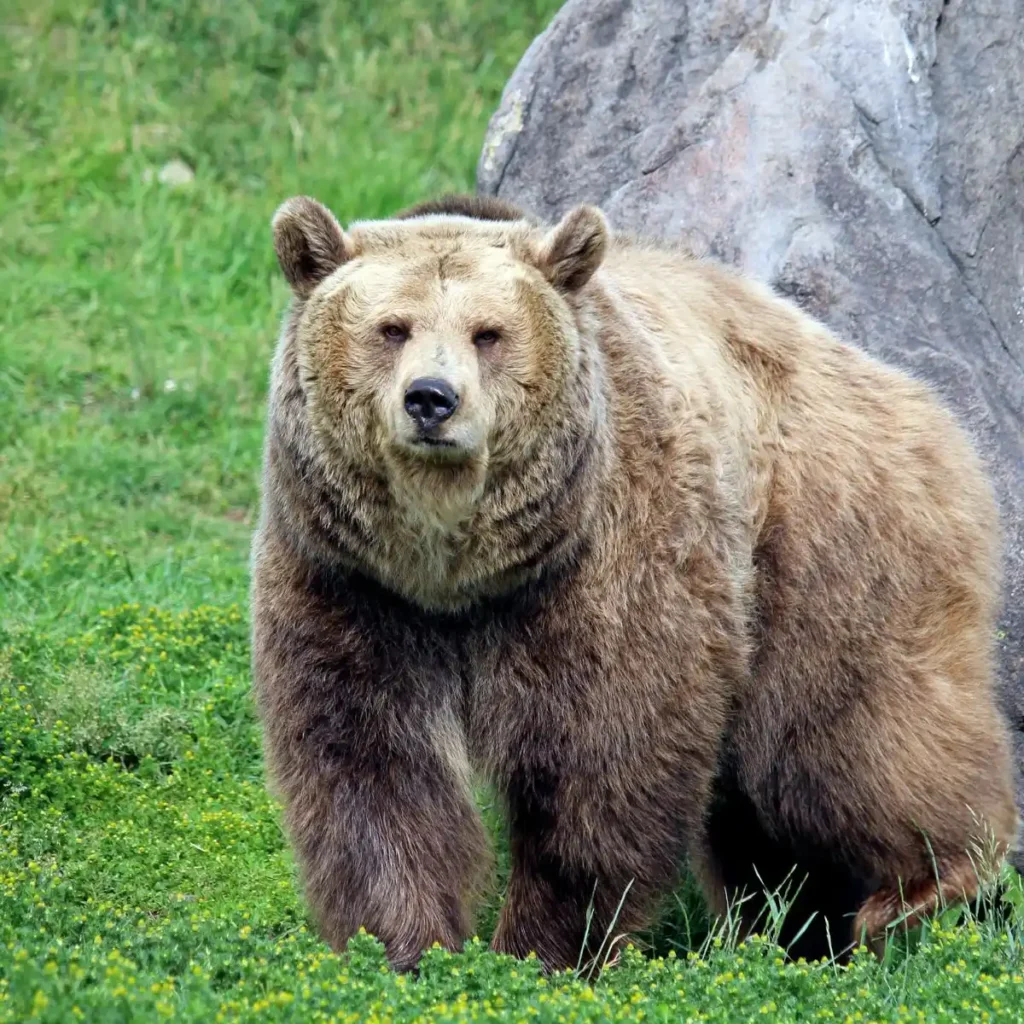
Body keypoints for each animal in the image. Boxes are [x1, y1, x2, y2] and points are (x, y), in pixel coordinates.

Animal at [251, 190, 1019, 966]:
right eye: (392, 328)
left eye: (488, 333)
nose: (431, 399)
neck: (458, 573)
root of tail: (918, 396)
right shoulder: (351, 584)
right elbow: (370, 769)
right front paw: (404, 948)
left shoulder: (609, 560)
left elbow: (605, 754)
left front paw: (547, 948)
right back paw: (792, 926)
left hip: (826, 542)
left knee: (846, 740)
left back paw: (923, 891)